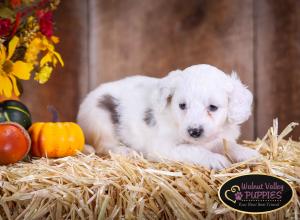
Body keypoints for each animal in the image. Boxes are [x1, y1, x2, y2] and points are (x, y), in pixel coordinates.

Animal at [77, 64, 260, 169]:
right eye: (182, 105)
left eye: (212, 107)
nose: (194, 131)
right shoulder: (163, 147)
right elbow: (190, 149)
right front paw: (214, 159)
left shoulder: (218, 138)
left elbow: (229, 145)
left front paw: (248, 153)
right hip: (100, 119)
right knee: (104, 146)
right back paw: (126, 151)